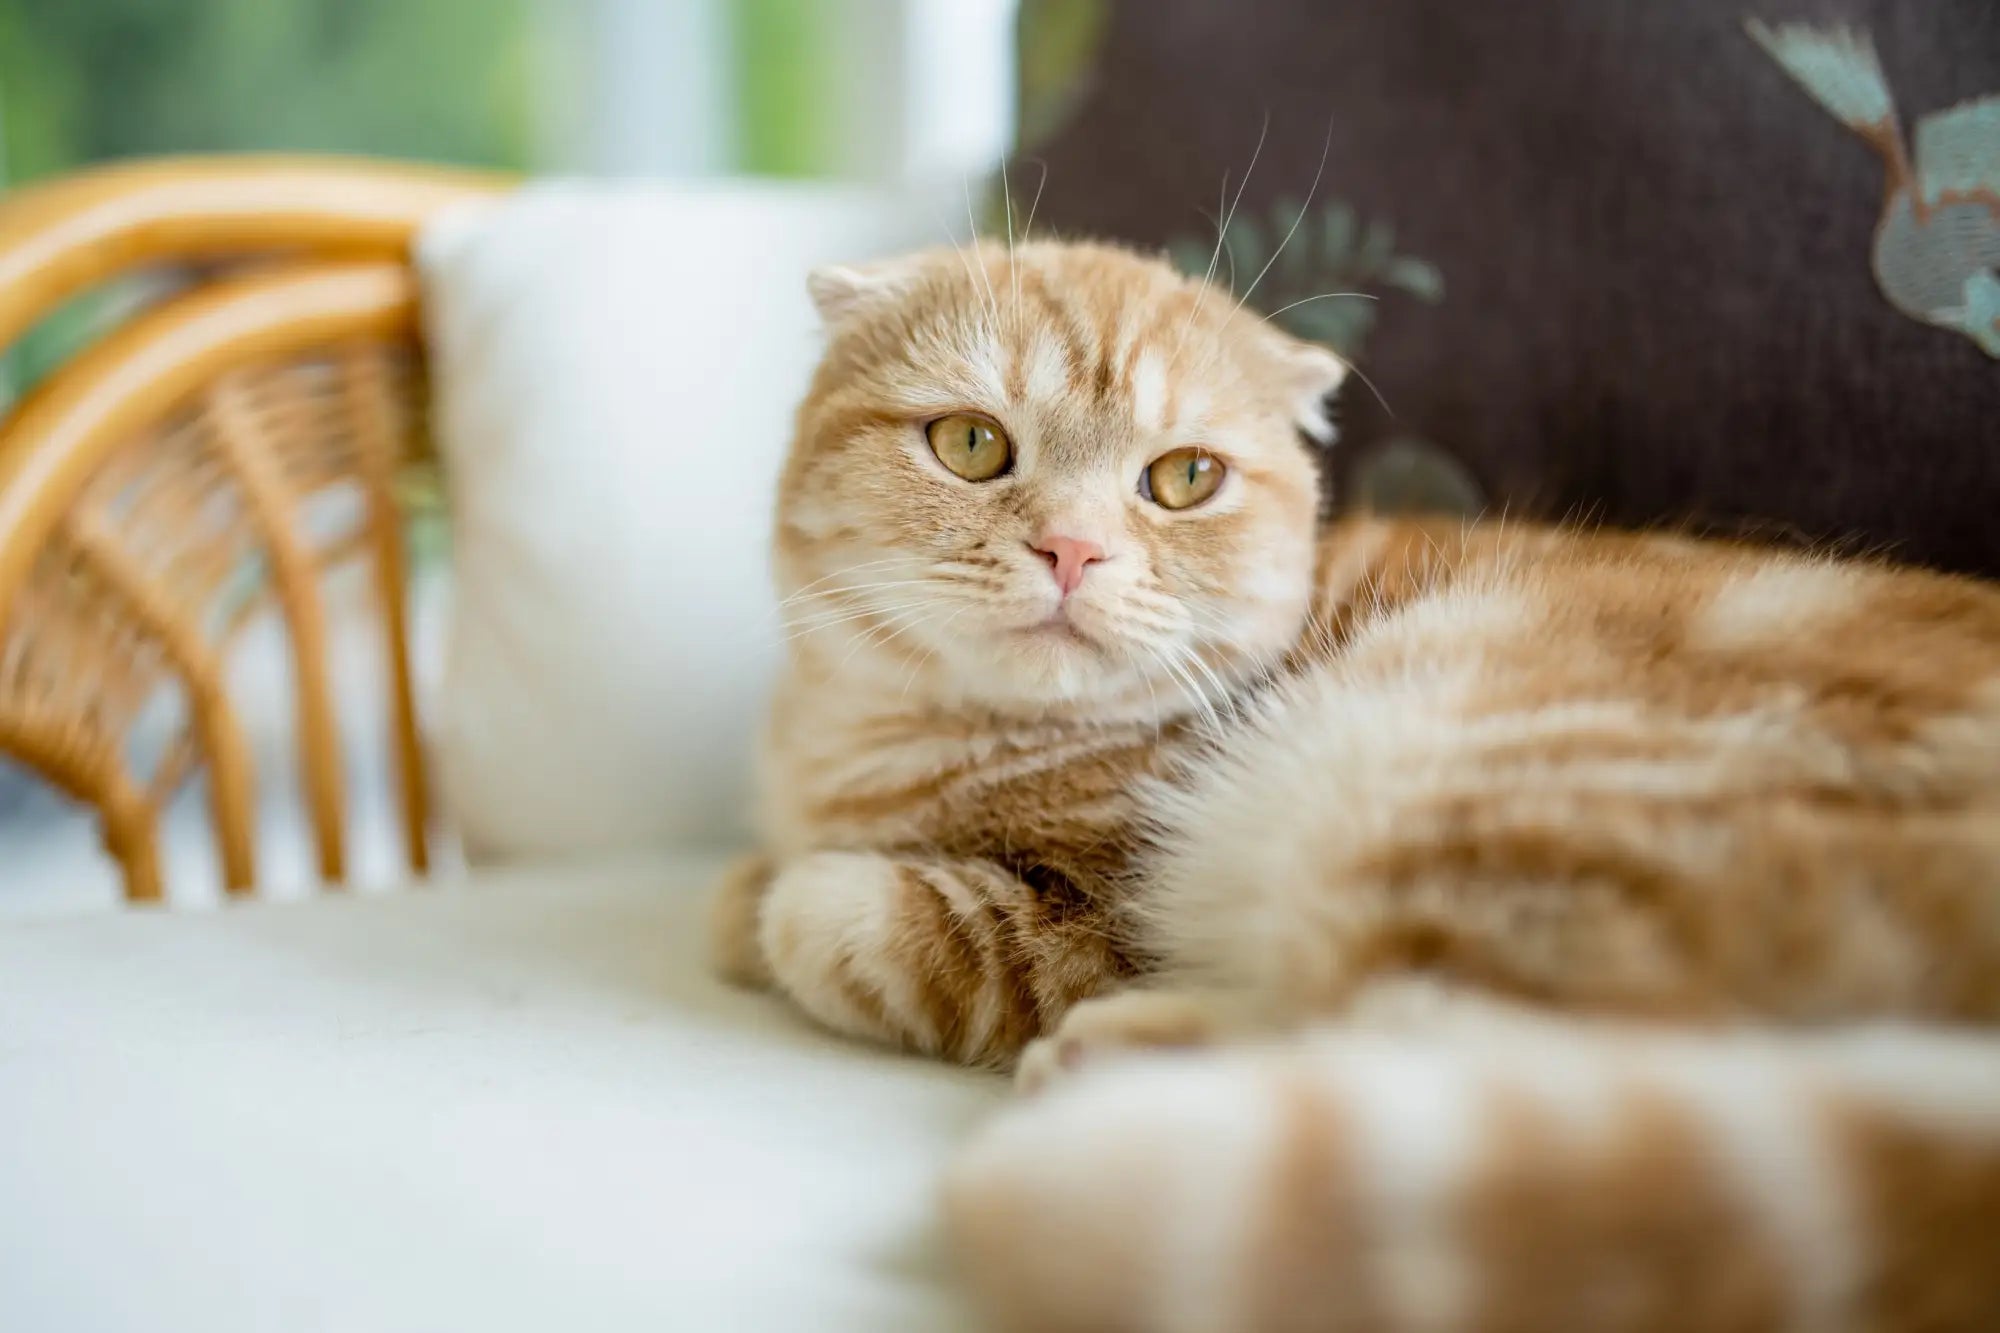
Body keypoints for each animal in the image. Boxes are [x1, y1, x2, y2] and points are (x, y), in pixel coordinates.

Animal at [708, 239, 2000, 1328]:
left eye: (1182, 477)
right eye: (972, 445)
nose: (1072, 549)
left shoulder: (1077, 925)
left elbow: (849, 920)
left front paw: (782, 900)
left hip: (1457, 784)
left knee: (1482, 1075)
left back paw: (1117, 1077)